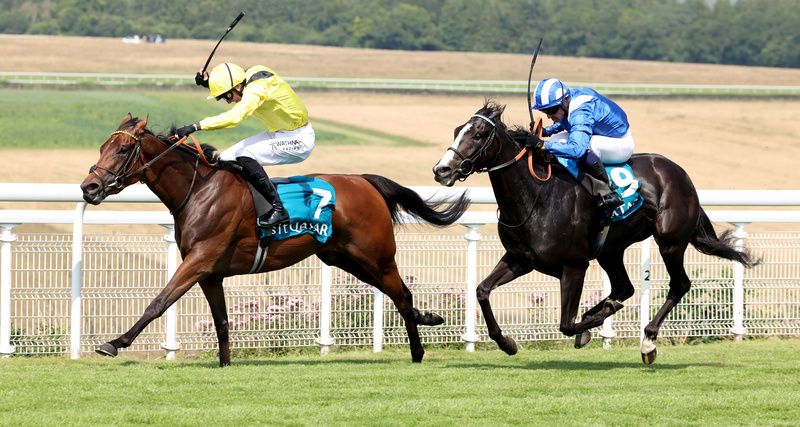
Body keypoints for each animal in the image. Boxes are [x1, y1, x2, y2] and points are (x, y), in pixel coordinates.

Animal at [79, 114, 468, 368]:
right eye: (101, 146)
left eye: (122, 151)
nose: (89, 187)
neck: (199, 190)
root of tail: (365, 180)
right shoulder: (210, 273)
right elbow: (221, 322)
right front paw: (225, 364)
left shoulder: (199, 259)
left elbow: (159, 302)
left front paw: (114, 343)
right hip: (346, 259)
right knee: (400, 294)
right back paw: (427, 319)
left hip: (376, 256)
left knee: (401, 294)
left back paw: (418, 351)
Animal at [432, 101, 756, 364]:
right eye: (457, 130)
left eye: (477, 134)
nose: (441, 170)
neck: (537, 196)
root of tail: (681, 174)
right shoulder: (520, 259)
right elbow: (482, 290)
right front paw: (506, 342)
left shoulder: (574, 266)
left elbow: (566, 324)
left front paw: (591, 325)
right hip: (611, 250)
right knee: (625, 287)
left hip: (670, 242)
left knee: (679, 285)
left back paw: (648, 341)